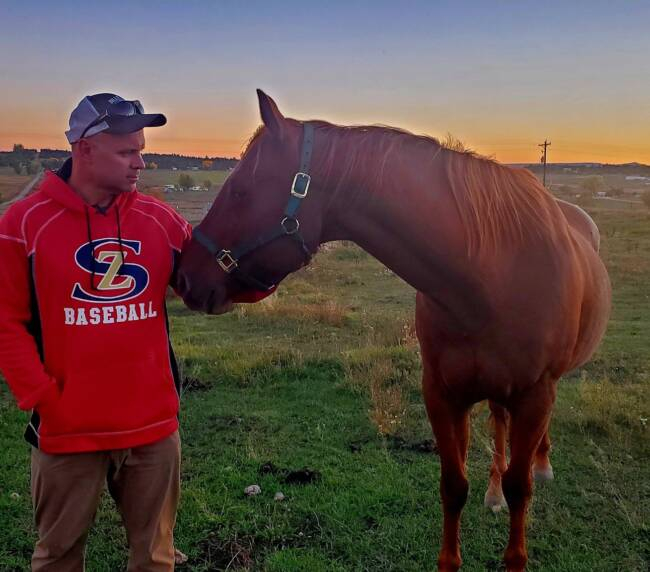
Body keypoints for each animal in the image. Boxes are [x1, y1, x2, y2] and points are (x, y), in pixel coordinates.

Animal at [176, 90, 611, 571]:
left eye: (239, 190)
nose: (183, 276)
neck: (489, 279)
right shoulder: (441, 395)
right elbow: (453, 485)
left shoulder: (534, 395)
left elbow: (522, 491)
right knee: (498, 424)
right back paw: (493, 490)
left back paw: (541, 463)